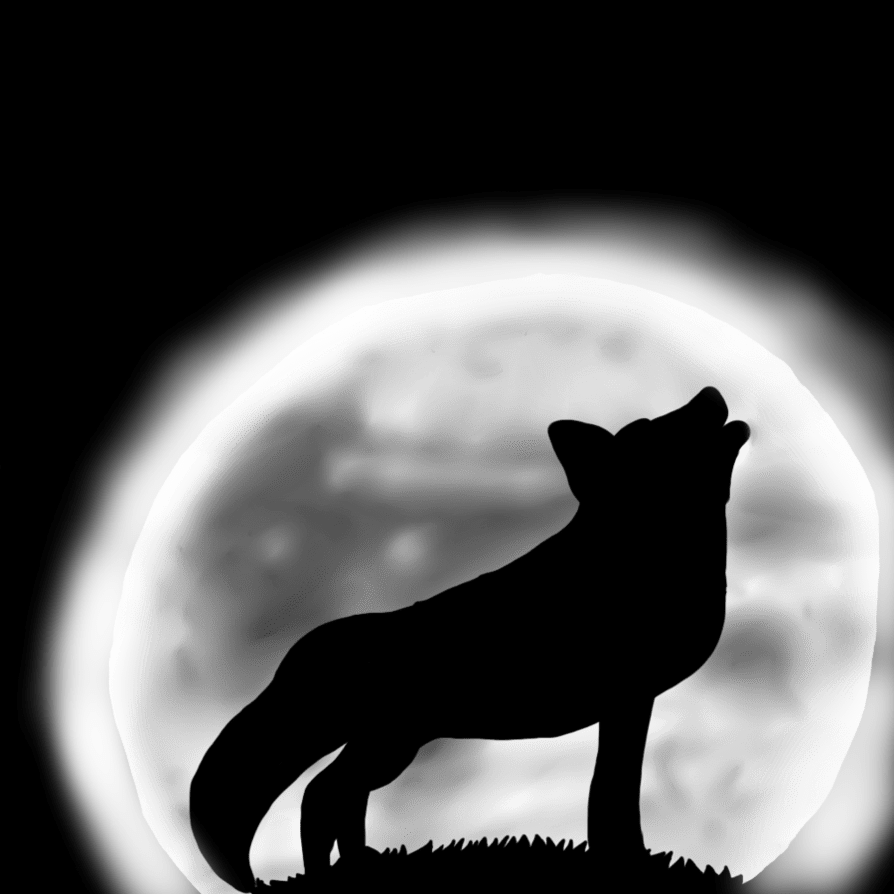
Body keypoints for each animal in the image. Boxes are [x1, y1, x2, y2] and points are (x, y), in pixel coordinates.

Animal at [189, 386, 750, 891]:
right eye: (655, 430)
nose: (709, 392)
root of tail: (305, 652)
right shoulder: (626, 698)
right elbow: (614, 795)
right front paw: (625, 862)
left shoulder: (636, 702)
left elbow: (616, 792)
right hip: (391, 743)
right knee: (322, 795)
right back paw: (328, 877)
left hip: (386, 744)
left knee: (339, 796)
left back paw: (363, 865)